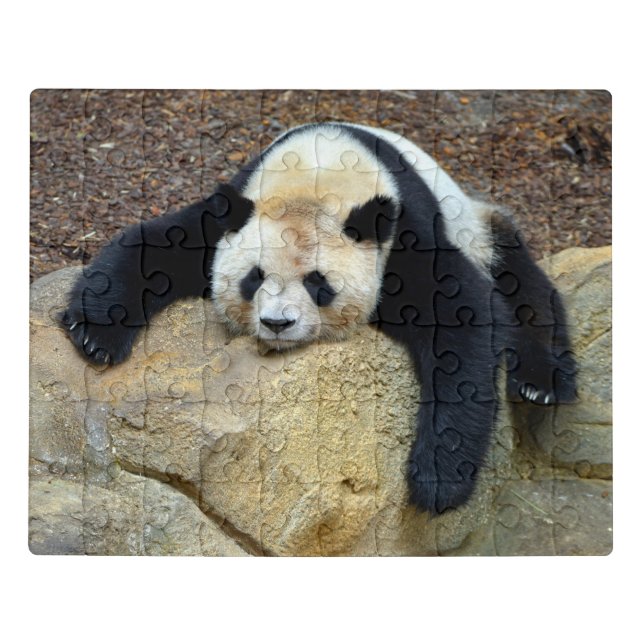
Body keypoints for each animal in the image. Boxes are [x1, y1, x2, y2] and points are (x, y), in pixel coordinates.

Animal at [62, 122, 576, 514]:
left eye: (318, 283)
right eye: (253, 278)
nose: (277, 324)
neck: (320, 173)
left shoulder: (405, 236)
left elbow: (464, 318)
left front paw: (437, 479)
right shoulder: (232, 213)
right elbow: (155, 244)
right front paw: (95, 334)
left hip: (476, 225)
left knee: (524, 287)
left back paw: (541, 382)